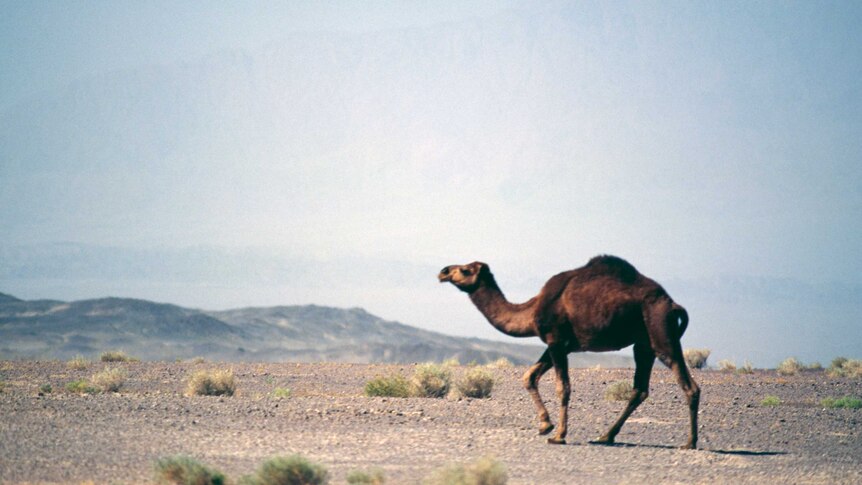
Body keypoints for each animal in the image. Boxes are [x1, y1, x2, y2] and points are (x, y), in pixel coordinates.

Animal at [438, 255, 704, 448]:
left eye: (465, 270)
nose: (443, 271)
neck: (532, 309)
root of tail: (673, 304)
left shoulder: (556, 340)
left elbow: (562, 387)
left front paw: (558, 435)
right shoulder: (560, 344)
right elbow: (529, 377)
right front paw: (544, 425)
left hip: (661, 332)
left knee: (687, 384)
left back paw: (689, 442)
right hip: (643, 344)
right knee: (639, 389)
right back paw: (605, 436)